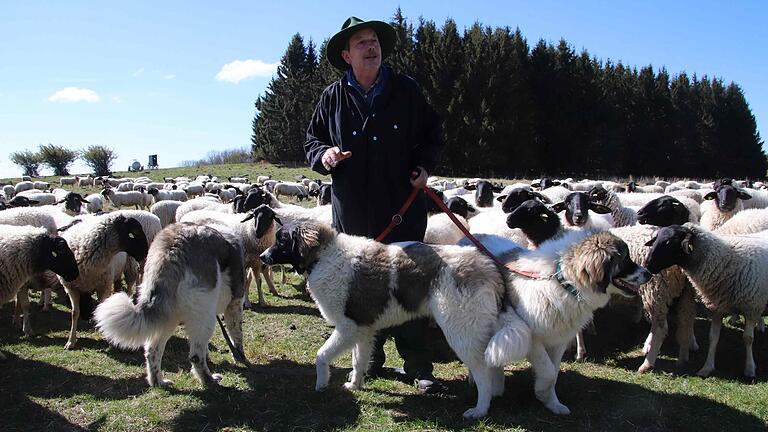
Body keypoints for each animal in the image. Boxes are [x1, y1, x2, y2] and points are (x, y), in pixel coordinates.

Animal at [262, 216, 510, 418]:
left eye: (282, 241)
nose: (263, 256)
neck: (324, 256)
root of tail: (487, 267)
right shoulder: (363, 330)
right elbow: (359, 360)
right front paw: (355, 385)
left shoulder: (347, 327)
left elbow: (321, 355)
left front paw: (321, 384)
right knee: (492, 366)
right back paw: (493, 395)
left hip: (461, 332)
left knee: (483, 371)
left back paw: (479, 409)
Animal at [486, 230, 648, 416]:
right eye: (626, 259)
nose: (649, 274)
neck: (563, 282)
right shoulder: (533, 340)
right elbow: (548, 371)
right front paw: (541, 391)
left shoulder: (559, 340)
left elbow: (554, 372)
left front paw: (552, 403)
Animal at [640, 223, 768, 378]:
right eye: (656, 238)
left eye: (668, 242)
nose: (647, 265)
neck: (725, 260)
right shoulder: (718, 307)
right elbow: (713, 338)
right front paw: (707, 368)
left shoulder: (752, 308)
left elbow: (748, 339)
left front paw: (749, 369)